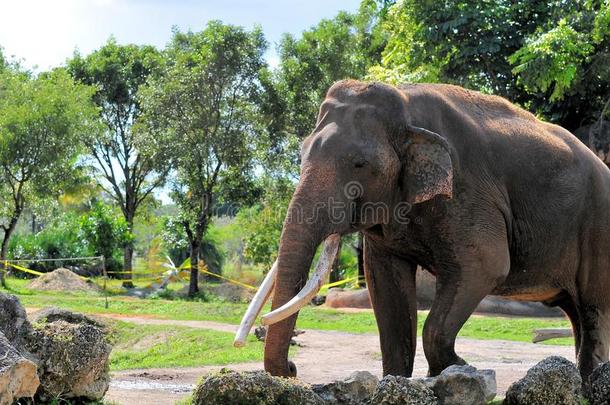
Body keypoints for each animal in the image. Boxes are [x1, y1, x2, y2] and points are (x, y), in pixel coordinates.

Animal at [234, 79, 608, 382]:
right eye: (300, 155)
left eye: (359, 165)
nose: (293, 368)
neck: (405, 104)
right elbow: (384, 282)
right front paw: (395, 380)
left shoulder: (466, 190)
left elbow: (484, 267)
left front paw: (461, 369)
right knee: (576, 310)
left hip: (597, 226)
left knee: (593, 308)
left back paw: (590, 381)